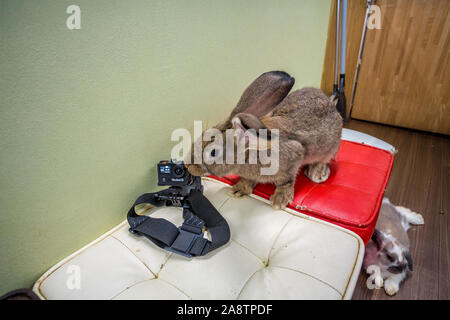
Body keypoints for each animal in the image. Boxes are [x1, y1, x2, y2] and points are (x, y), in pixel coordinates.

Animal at [185, 71, 342, 209]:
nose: (188, 165)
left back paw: (317, 173)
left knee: (324, 160)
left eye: (213, 152)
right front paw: (239, 189)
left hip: (330, 147)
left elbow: (287, 181)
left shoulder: (293, 157)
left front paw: (279, 200)